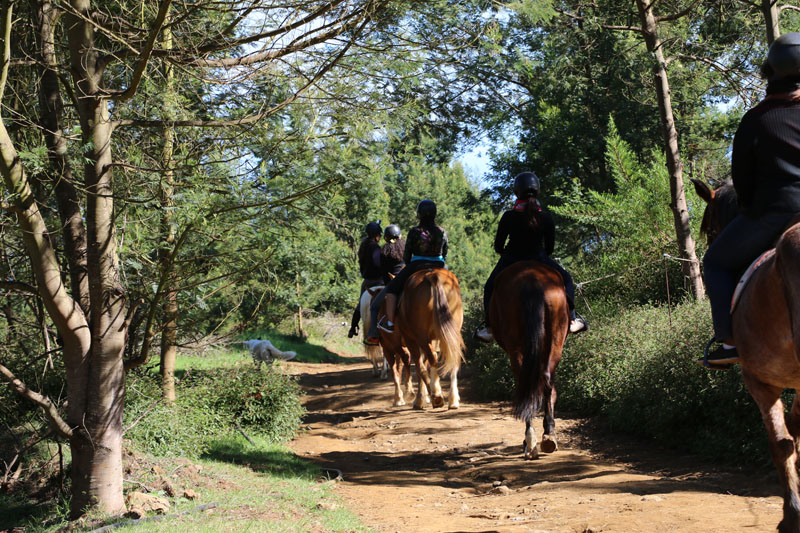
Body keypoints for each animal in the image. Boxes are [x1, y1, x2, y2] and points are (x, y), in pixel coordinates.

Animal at [382, 268, 466, 410]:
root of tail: (432, 274)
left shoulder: (410, 340)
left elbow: (420, 368)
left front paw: (422, 398)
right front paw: (421, 397)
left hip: (419, 337)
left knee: (430, 359)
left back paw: (436, 396)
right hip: (452, 332)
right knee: (453, 358)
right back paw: (453, 400)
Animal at [488, 260, 568, 460]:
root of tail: (532, 280)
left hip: (518, 344)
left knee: (529, 382)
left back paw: (532, 440)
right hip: (555, 339)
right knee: (543, 381)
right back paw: (546, 438)